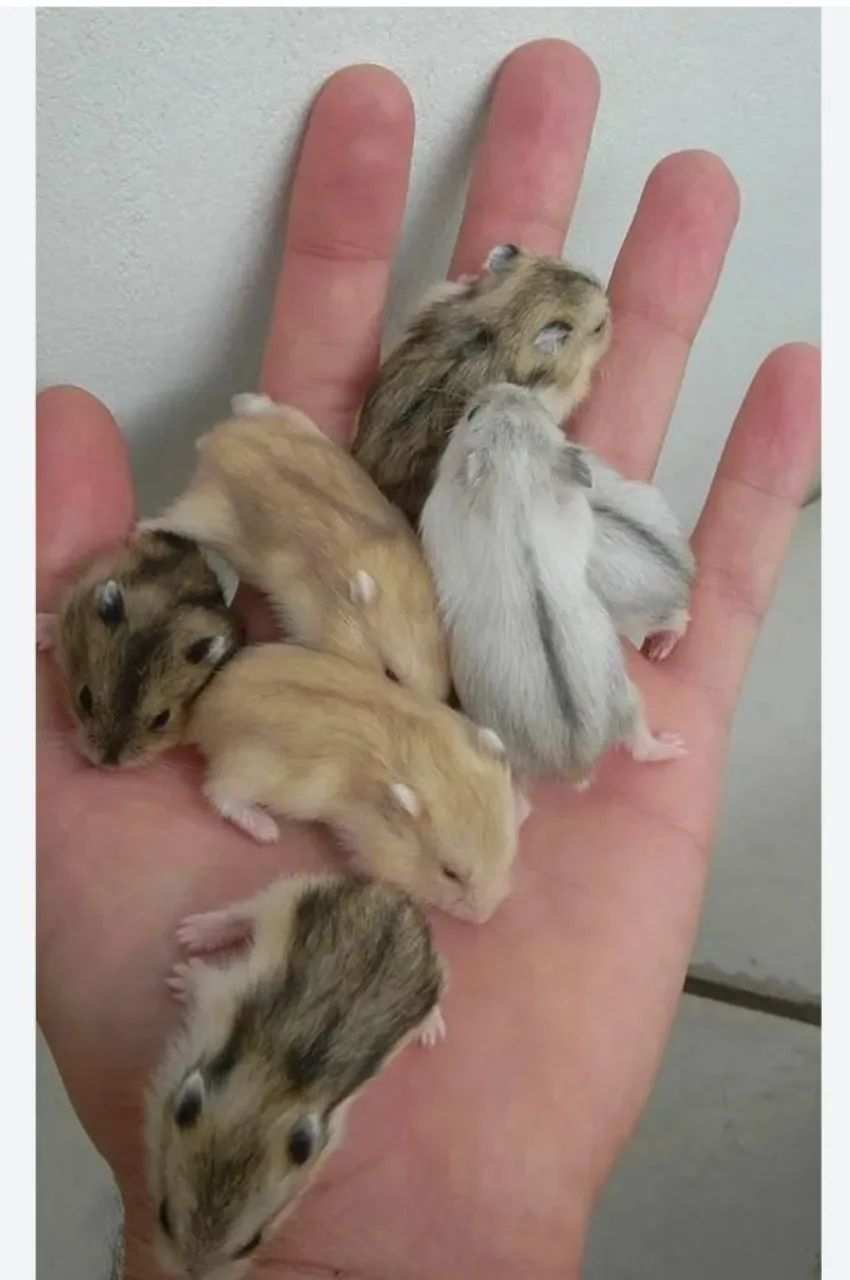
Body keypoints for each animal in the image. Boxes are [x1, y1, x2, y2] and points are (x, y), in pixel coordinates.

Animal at [141, 394, 450, 701]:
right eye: (390, 674)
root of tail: (217, 439)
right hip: (203, 514)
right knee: (168, 517)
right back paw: (142, 525)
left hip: (292, 421)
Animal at [147, 873, 446, 1280]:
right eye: (162, 1215)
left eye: (253, 1243)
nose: (190, 1274)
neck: (273, 1089)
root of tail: (397, 894)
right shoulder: (219, 995)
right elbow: (204, 979)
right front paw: (181, 975)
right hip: (293, 894)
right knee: (245, 910)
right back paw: (193, 933)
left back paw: (432, 1032)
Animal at [186, 643, 520, 922]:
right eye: (450, 873)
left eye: (508, 856)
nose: (483, 918)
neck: (434, 762)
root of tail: (200, 716)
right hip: (246, 771)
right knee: (218, 793)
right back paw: (267, 830)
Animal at [420, 384, 686, 783]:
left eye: (472, 413)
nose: (498, 386)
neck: (516, 479)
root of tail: (580, 762)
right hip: (628, 698)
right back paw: (674, 746)